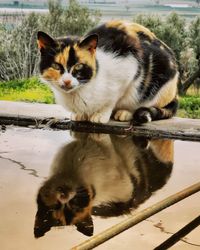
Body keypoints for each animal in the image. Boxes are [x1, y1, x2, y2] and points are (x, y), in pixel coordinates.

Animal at [37, 20, 178, 124]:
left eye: (78, 66)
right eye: (56, 66)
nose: (67, 81)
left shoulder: (129, 66)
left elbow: (112, 99)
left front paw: (101, 115)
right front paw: (80, 115)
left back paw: (125, 113)